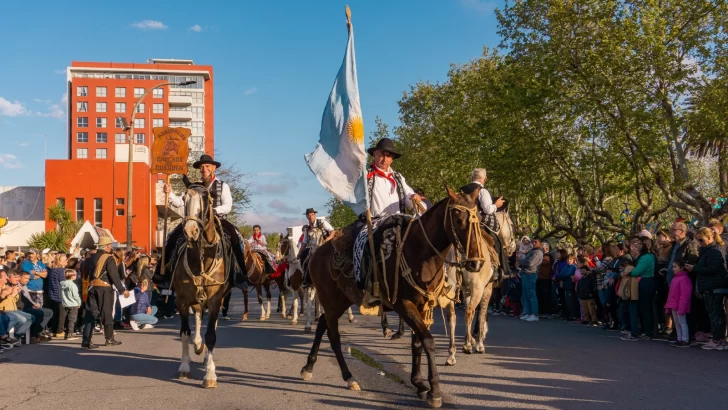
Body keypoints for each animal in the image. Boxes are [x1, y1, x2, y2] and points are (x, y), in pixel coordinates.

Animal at [173, 186, 232, 388]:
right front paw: (184, 367)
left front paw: (210, 375)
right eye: (184, 198)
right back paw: (198, 346)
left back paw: (206, 356)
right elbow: (184, 333)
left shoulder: (215, 301)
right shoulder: (182, 300)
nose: (191, 231)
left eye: (206, 198)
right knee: (198, 317)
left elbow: (211, 335)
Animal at [302, 187, 490, 408]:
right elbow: (428, 341)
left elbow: (417, 343)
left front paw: (419, 383)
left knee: (323, 324)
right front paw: (434, 390)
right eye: (458, 219)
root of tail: (316, 253)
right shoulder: (404, 304)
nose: (476, 263)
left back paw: (308, 367)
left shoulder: (422, 305)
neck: (419, 253)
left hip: (340, 301)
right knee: (333, 337)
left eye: (479, 218)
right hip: (330, 300)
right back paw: (349, 377)